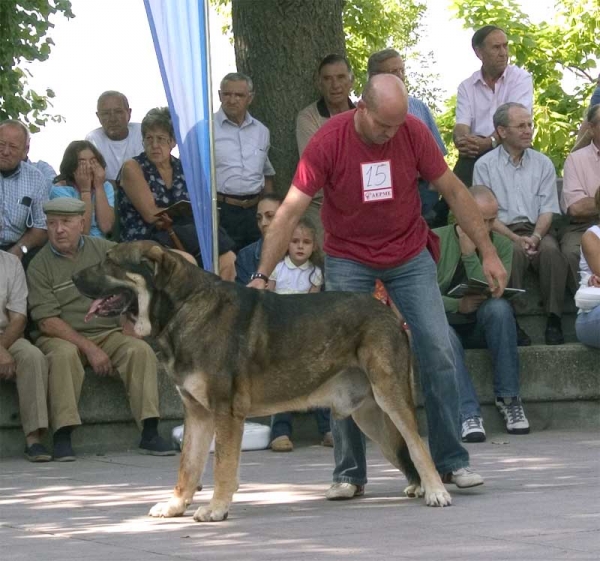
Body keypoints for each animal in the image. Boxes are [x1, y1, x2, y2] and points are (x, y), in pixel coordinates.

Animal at [74, 238, 450, 520]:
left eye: (110, 261)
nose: (74, 279)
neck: (182, 306)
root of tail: (389, 314)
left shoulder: (225, 412)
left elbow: (223, 466)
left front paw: (215, 509)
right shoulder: (197, 413)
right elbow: (189, 466)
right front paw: (177, 505)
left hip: (391, 399)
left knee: (418, 447)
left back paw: (436, 491)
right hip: (369, 416)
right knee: (405, 450)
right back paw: (419, 486)